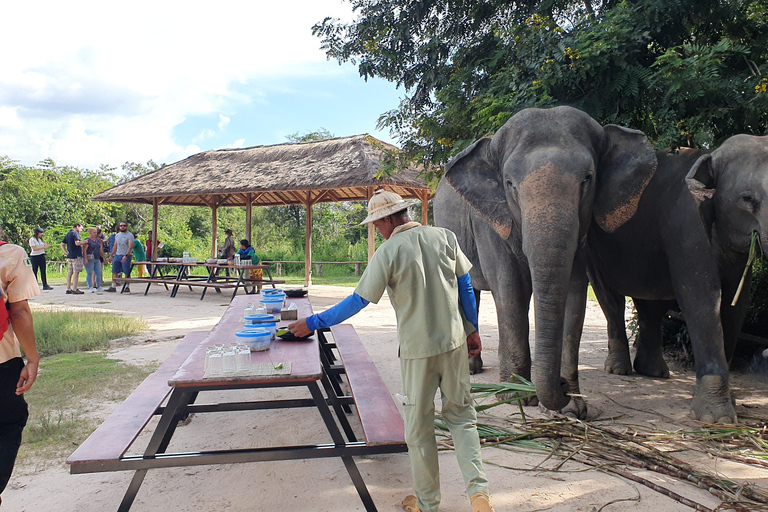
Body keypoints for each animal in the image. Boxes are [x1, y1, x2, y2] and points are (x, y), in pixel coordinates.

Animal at [436, 106, 656, 418]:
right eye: (510, 185)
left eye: (587, 179)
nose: (561, 385)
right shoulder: (490, 222)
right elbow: (511, 291)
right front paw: (517, 397)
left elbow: (574, 293)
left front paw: (574, 407)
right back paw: (476, 371)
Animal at [592, 134, 768, 422]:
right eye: (747, 198)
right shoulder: (687, 229)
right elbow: (702, 298)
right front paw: (717, 418)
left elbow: (736, 306)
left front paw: (729, 403)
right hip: (593, 246)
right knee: (610, 298)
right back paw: (619, 369)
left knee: (652, 305)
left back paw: (653, 372)